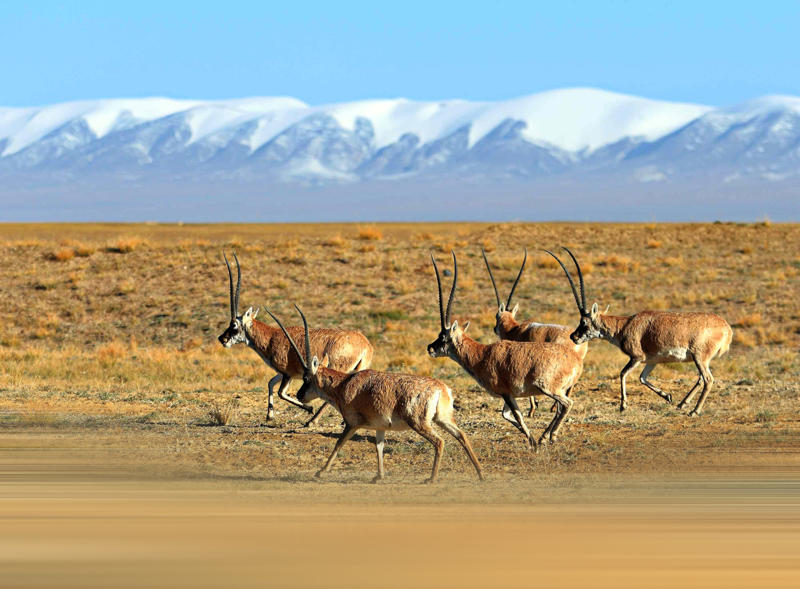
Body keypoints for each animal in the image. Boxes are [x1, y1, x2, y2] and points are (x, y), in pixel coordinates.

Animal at [217, 252, 373, 426]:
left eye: (234, 325)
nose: (222, 339)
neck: (272, 336)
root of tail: (365, 345)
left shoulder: (288, 374)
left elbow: (281, 393)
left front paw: (308, 408)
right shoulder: (283, 373)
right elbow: (270, 383)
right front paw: (270, 415)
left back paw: (313, 420)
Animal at [265, 306, 484, 484]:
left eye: (306, 378)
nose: (300, 395)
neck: (344, 384)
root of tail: (442, 389)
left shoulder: (352, 423)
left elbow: (339, 443)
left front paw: (320, 472)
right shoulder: (380, 427)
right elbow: (379, 447)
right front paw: (378, 476)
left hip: (420, 423)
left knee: (439, 442)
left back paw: (431, 479)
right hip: (443, 419)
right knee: (461, 435)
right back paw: (480, 474)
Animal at [546, 247, 733, 416]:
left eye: (584, 322)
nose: (574, 336)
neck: (625, 325)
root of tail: (726, 328)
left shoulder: (636, 357)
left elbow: (622, 374)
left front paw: (623, 406)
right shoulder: (651, 360)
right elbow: (643, 378)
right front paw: (667, 396)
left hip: (699, 357)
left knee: (707, 379)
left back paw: (694, 411)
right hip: (700, 359)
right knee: (701, 379)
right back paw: (682, 404)